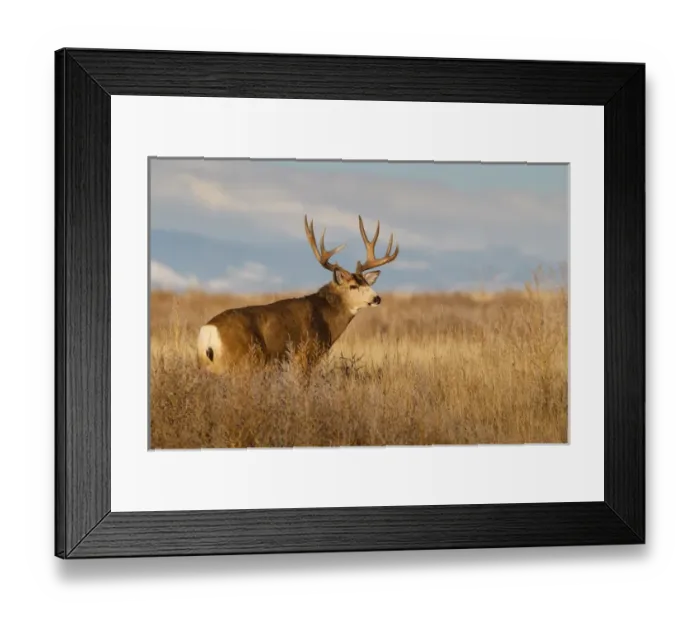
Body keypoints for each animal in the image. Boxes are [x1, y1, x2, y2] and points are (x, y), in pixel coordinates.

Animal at [196, 214, 400, 373]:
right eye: (353, 286)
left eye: (366, 282)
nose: (377, 298)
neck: (325, 317)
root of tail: (208, 333)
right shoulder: (305, 355)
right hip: (242, 361)